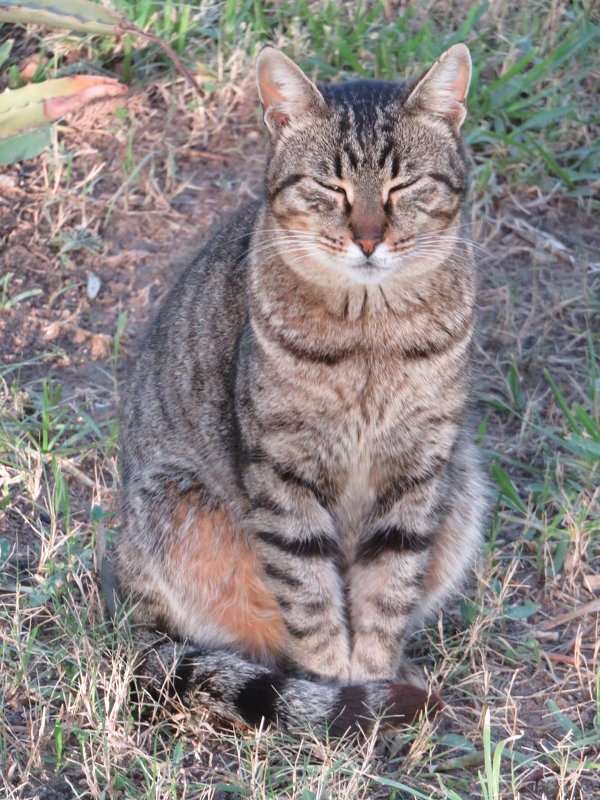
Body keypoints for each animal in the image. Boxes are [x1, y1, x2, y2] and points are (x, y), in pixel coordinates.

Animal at [113, 42, 488, 732]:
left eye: (403, 185)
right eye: (327, 186)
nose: (367, 239)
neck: (371, 334)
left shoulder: (419, 465)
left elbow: (388, 588)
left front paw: (369, 679)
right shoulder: (282, 470)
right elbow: (311, 598)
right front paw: (339, 695)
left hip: (464, 482)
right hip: (173, 503)